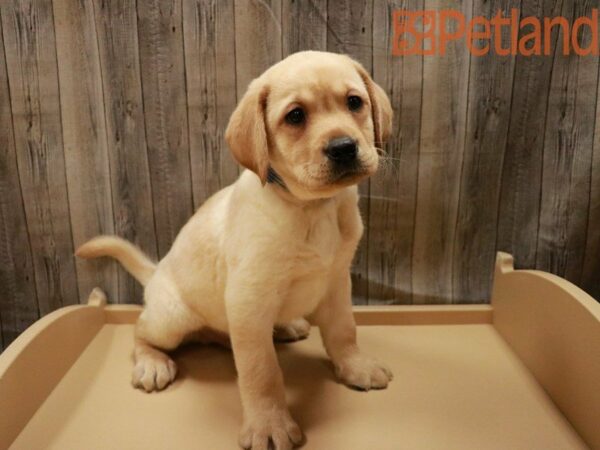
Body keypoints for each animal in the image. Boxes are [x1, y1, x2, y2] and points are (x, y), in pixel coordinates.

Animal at [78, 51, 394, 448]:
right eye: (295, 116)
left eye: (354, 102)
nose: (343, 147)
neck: (312, 208)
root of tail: (156, 273)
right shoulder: (248, 298)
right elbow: (261, 371)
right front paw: (269, 423)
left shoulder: (336, 281)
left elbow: (343, 331)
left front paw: (356, 366)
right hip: (172, 318)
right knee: (142, 331)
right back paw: (152, 362)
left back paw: (284, 325)